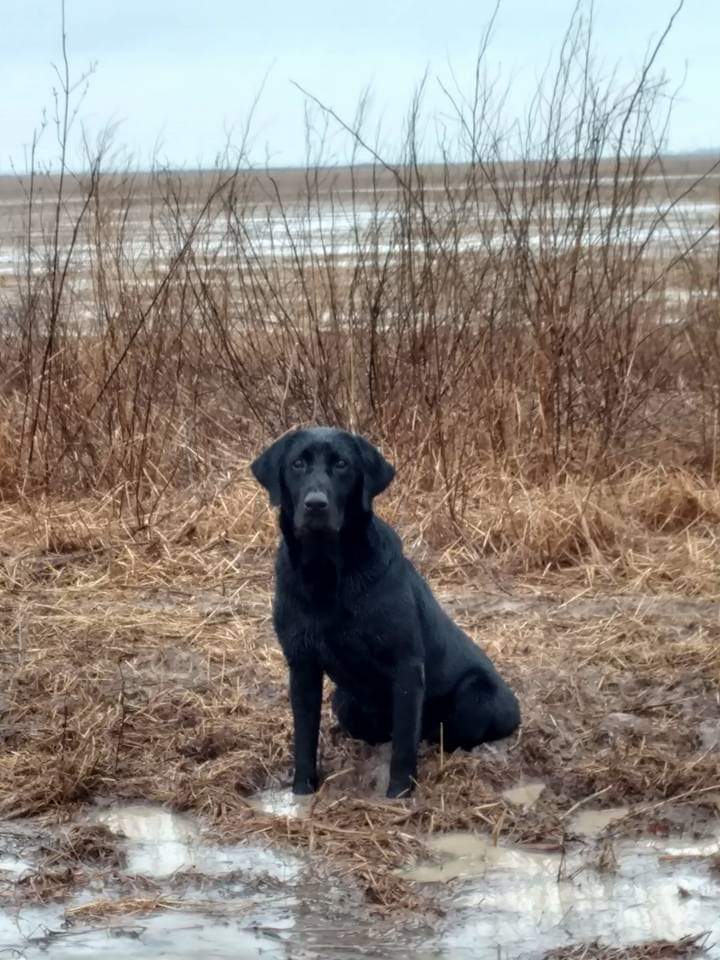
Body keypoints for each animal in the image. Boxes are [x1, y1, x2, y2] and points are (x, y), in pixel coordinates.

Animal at [250, 426, 520, 796]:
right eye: (297, 464)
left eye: (342, 464)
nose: (316, 504)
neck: (327, 572)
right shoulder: (301, 665)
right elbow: (304, 737)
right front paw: (302, 790)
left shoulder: (406, 666)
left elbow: (404, 742)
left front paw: (398, 794)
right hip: (344, 700)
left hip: (477, 696)